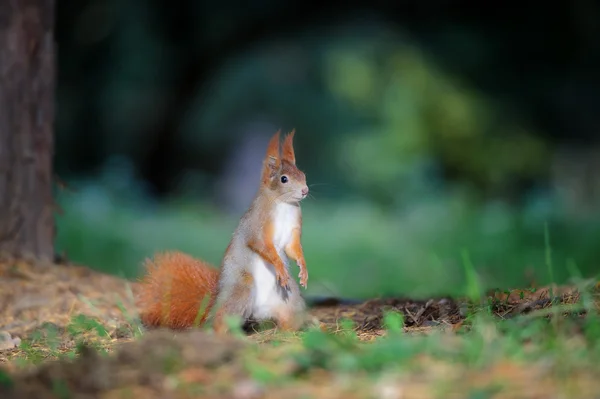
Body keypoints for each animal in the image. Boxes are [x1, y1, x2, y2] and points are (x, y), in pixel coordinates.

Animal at [137, 131, 312, 334]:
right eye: (284, 179)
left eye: (303, 174)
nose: (305, 190)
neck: (284, 204)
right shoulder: (257, 225)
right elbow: (260, 244)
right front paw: (280, 266)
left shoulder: (293, 228)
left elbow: (293, 248)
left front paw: (303, 268)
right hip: (242, 290)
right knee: (220, 321)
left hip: (289, 299)